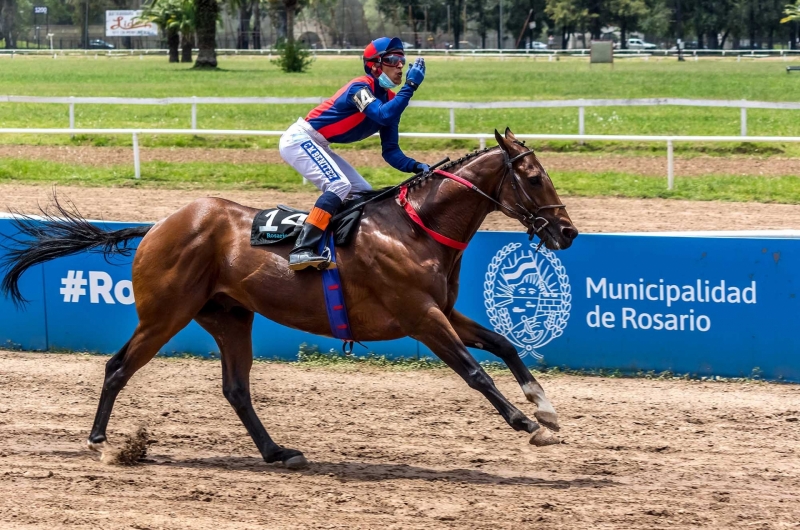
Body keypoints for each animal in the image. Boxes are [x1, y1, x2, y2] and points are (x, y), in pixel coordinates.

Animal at [0, 128, 576, 466]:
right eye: (533, 177)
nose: (567, 232)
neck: (415, 228)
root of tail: (157, 225)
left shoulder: (444, 310)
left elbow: (502, 343)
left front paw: (545, 411)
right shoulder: (420, 317)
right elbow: (476, 372)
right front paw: (526, 423)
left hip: (229, 317)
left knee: (235, 389)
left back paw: (276, 451)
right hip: (166, 313)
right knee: (117, 367)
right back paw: (99, 442)